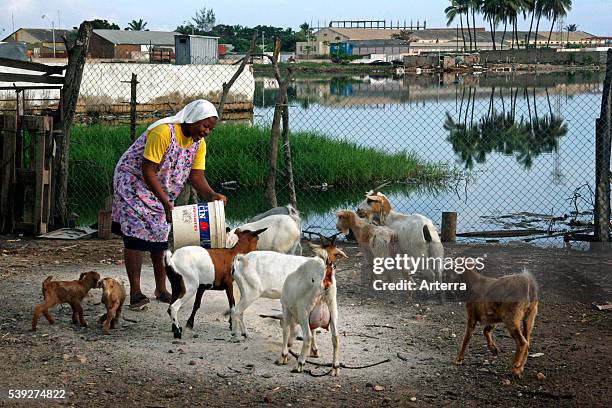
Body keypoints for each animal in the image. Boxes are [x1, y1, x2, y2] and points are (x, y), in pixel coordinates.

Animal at [274, 242, 346, 376]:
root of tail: (325, 274)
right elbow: (314, 330)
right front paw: (315, 351)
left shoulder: (286, 308)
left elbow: (286, 330)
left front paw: (283, 356)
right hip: (333, 309)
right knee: (335, 338)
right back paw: (335, 367)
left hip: (304, 310)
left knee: (307, 337)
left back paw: (300, 364)